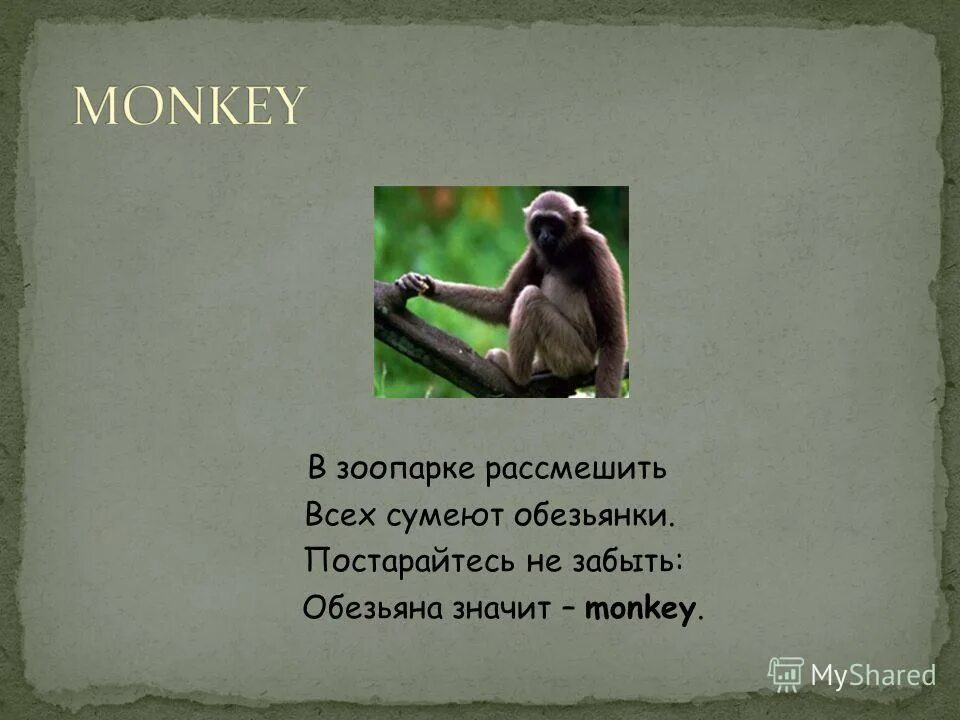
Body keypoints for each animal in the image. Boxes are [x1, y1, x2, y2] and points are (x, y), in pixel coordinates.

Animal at [395, 190, 626, 397]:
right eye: (539, 222)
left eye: (553, 223)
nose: (545, 234)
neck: (566, 250)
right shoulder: (534, 250)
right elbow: (505, 304)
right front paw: (431, 287)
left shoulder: (596, 248)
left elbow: (613, 335)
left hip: (578, 356)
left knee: (531, 299)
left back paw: (516, 375)